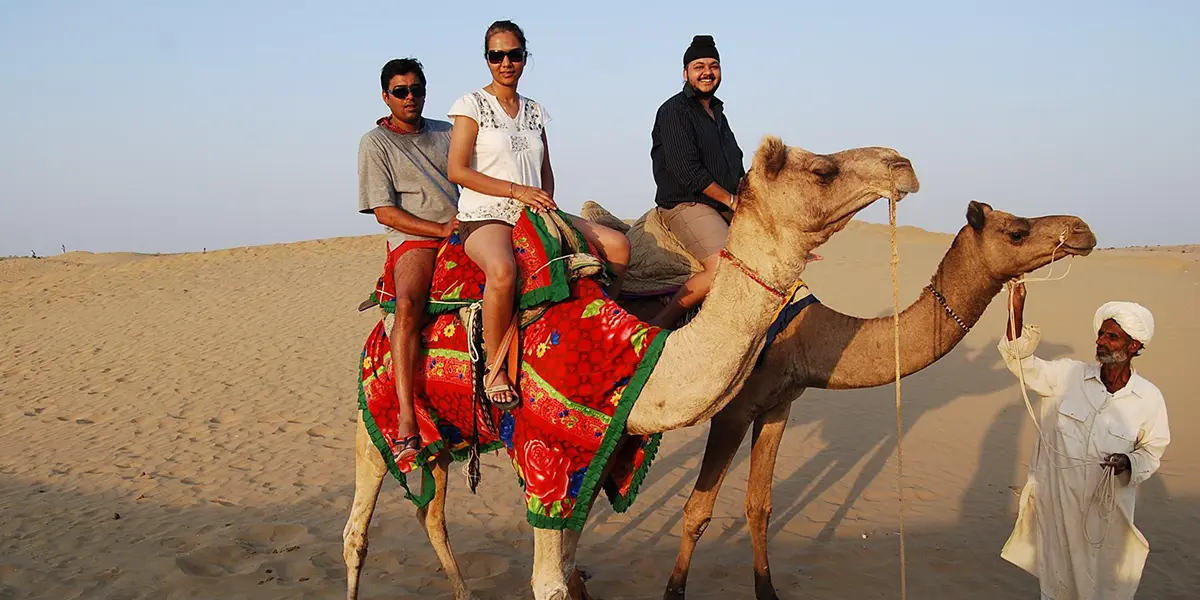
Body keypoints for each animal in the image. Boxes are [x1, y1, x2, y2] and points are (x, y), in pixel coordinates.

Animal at [343, 135, 920, 600]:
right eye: (823, 170)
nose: (902, 164)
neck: (637, 358)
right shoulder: (547, 458)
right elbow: (550, 583)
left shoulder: (597, 454)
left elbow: (568, 565)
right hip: (375, 419)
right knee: (357, 530)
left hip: (448, 434)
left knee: (431, 510)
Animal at [638, 200, 1096, 599]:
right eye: (1016, 231)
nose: (1082, 229)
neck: (808, 336)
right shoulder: (733, 410)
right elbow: (698, 511)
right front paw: (673, 592)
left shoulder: (777, 406)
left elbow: (759, 506)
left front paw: (767, 590)